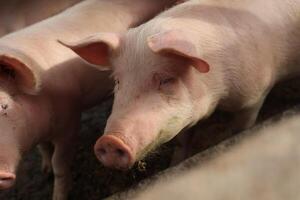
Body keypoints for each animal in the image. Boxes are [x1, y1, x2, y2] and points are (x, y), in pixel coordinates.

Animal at [0, 0, 179, 199]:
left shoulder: (70, 120)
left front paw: (58, 194)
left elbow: (59, 164)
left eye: (5, 106)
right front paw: (45, 172)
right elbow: (44, 149)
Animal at [64, 0, 300, 170]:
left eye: (166, 79)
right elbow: (182, 139)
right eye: (118, 81)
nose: (110, 141)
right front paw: (174, 165)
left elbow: (240, 129)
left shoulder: (254, 96)